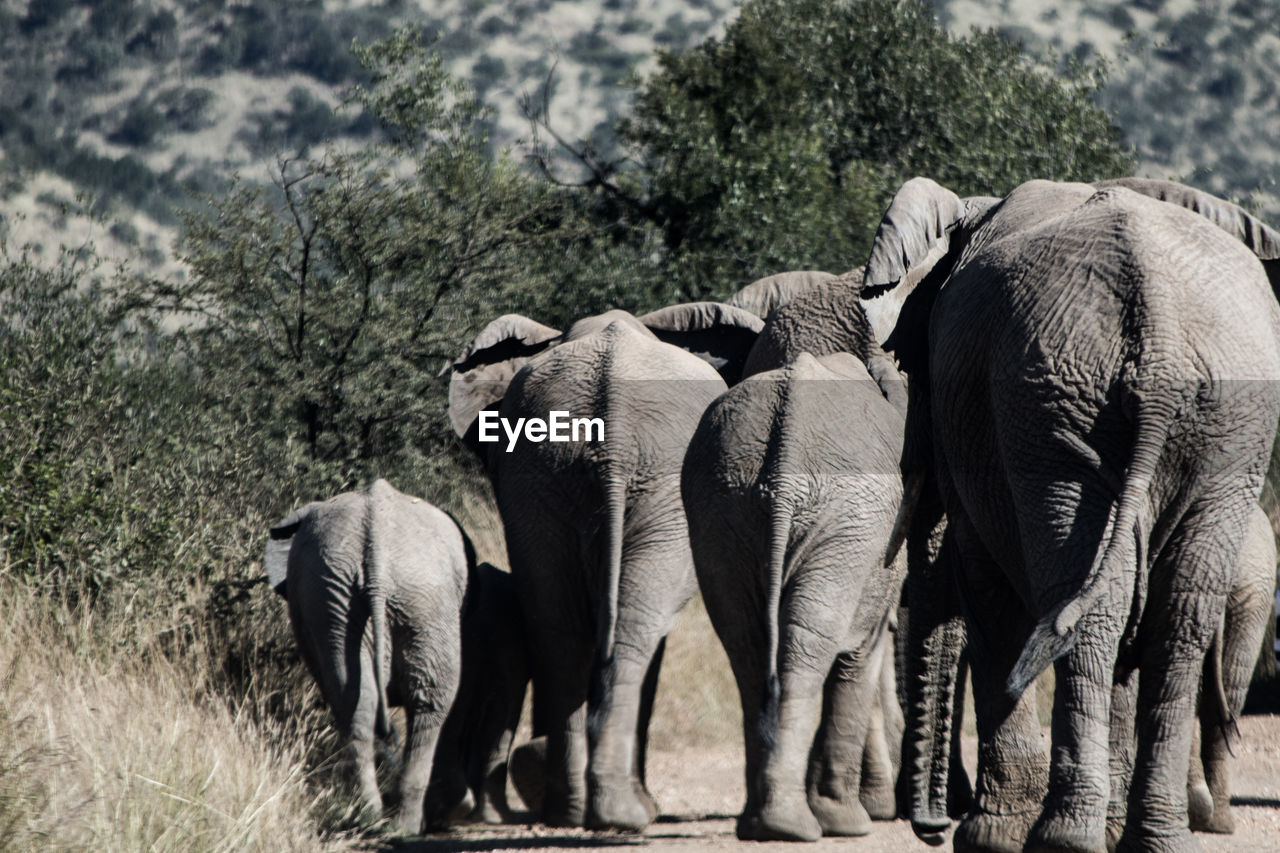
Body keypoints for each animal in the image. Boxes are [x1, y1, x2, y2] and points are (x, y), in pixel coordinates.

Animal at [264, 479, 524, 829]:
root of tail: (377, 553)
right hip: (389, 598)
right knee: (424, 701)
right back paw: (404, 820)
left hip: (360, 599)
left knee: (363, 701)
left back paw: (376, 817)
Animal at [855, 174, 1280, 850]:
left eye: (909, 365)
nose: (930, 829)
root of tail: (1160, 335)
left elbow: (981, 584)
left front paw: (991, 837)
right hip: (1219, 420)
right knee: (1172, 615)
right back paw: (1153, 837)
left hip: (1055, 404)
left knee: (1087, 604)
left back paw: (1064, 839)